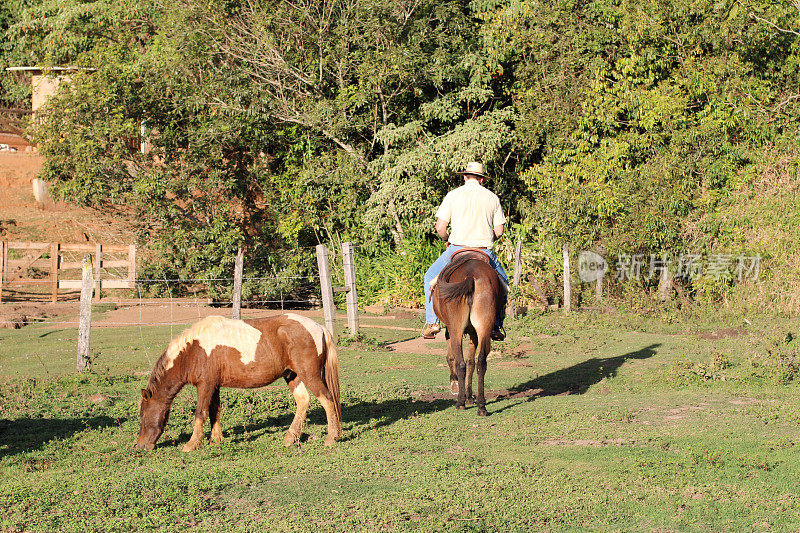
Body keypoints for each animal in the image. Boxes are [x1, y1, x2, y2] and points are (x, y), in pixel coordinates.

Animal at [134, 314, 340, 450]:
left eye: (142, 415)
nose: (140, 446)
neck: (193, 351)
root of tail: (319, 328)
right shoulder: (214, 385)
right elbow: (214, 412)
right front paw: (215, 440)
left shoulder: (205, 385)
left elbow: (200, 413)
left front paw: (192, 444)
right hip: (292, 376)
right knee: (303, 401)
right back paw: (290, 438)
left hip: (309, 375)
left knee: (327, 399)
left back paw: (332, 437)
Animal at [434, 249, 504, 416]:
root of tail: (471, 275)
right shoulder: (474, 334)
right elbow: (472, 362)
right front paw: (470, 396)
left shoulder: (449, 330)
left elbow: (451, 358)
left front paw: (456, 386)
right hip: (484, 327)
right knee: (481, 362)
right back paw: (481, 406)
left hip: (456, 328)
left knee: (460, 363)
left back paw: (460, 402)